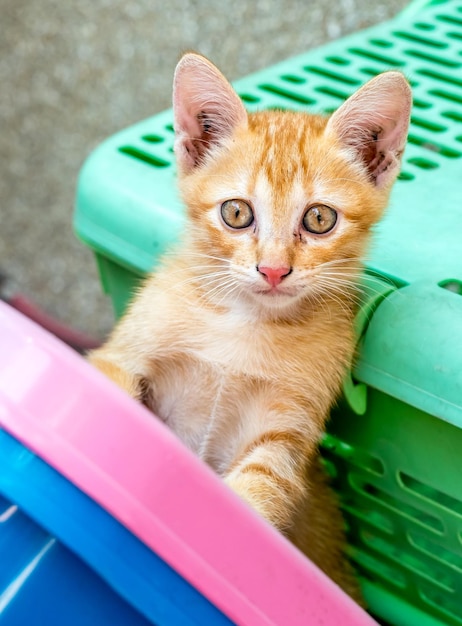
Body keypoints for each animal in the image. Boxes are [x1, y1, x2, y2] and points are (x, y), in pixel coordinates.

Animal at [87, 52, 412, 600]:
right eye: (236, 212)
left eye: (319, 219)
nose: (274, 269)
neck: (243, 323)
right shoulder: (124, 355)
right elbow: (111, 389)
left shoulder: (287, 427)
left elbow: (262, 485)